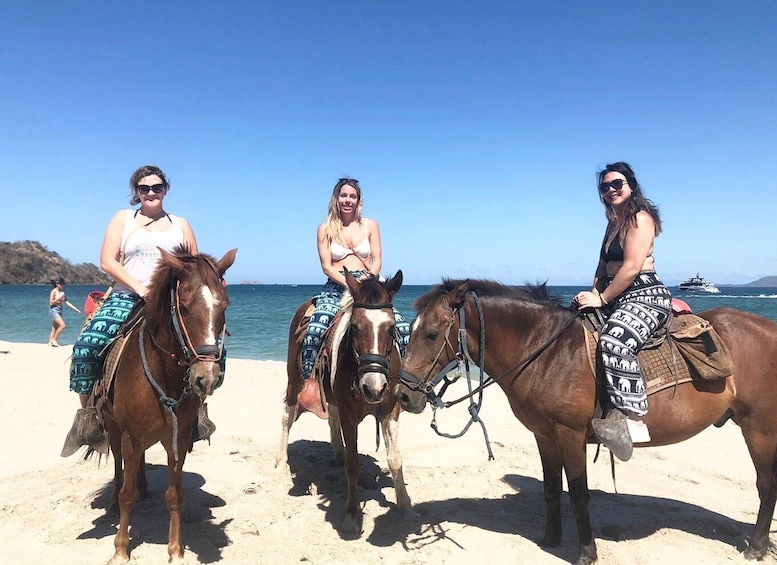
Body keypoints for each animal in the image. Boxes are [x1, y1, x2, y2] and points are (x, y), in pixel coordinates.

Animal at [103, 248, 236, 564]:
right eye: (184, 307)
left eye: (224, 306)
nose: (206, 377)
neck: (161, 374)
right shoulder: (130, 436)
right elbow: (126, 494)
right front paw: (121, 549)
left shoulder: (178, 437)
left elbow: (175, 496)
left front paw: (175, 550)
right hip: (114, 428)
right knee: (118, 465)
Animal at [276, 270, 416, 532]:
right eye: (355, 326)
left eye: (391, 327)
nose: (374, 387)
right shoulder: (349, 415)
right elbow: (352, 465)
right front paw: (351, 516)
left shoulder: (389, 410)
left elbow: (395, 459)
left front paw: (406, 507)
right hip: (293, 379)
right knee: (287, 416)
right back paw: (280, 463)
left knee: (331, 416)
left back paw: (337, 452)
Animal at [398, 280, 776, 564]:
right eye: (409, 331)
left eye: (431, 334)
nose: (403, 396)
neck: (548, 353)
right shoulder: (544, 436)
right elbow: (552, 489)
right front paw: (550, 540)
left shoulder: (570, 435)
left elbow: (579, 495)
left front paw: (586, 553)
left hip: (759, 428)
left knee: (766, 486)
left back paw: (756, 548)